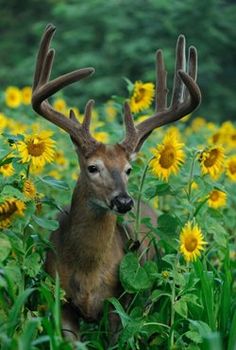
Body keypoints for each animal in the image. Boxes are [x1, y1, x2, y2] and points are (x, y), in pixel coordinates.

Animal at [31, 23, 201, 340]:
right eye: (92, 167)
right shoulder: (60, 300)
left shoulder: (118, 302)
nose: (123, 201)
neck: (86, 271)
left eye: (128, 169)